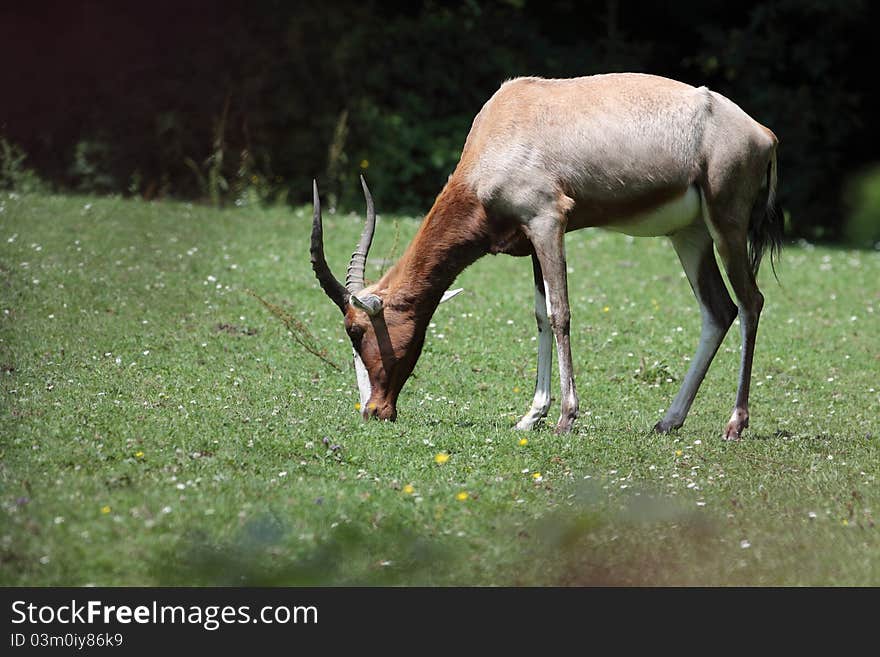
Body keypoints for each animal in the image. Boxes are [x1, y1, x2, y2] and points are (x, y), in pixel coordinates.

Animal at [312, 74, 780, 438]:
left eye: (356, 331)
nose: (374, 411)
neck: (507, 121)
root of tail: (762, 133)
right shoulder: (531, 240)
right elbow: (541, 314)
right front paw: (531, 415)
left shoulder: (548, 222)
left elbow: (561, 314)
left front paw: (566, 418)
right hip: (690, 236)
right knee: (718, 310)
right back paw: (668, 421)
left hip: (727, 228)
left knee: (751, 302)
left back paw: (735, 424)